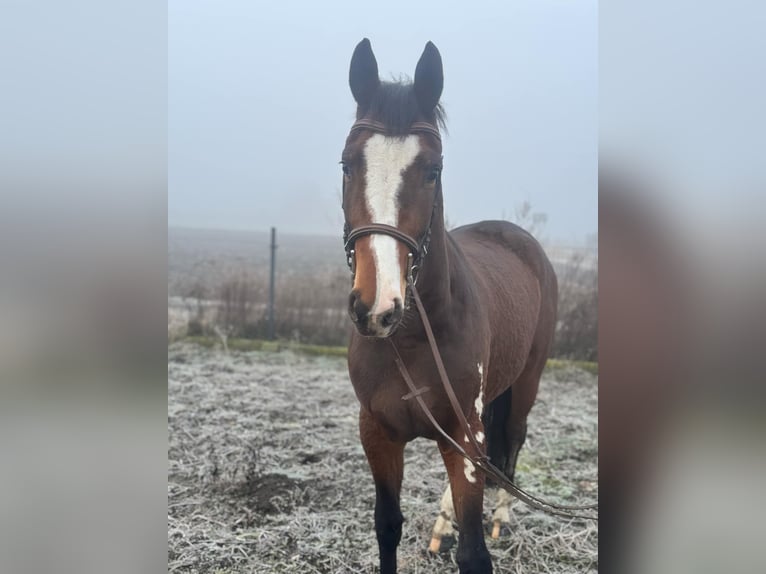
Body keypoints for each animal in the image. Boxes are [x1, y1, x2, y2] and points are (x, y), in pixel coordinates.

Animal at [342, 38, 560, 572]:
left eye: (432, 171)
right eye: (347, 164)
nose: (377, 307)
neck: (414, 334)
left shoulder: (465, 436)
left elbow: (474, 552)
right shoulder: (377, 432)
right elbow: (387, 527)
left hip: (525, 383)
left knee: (513, 441)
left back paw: (501, 516)